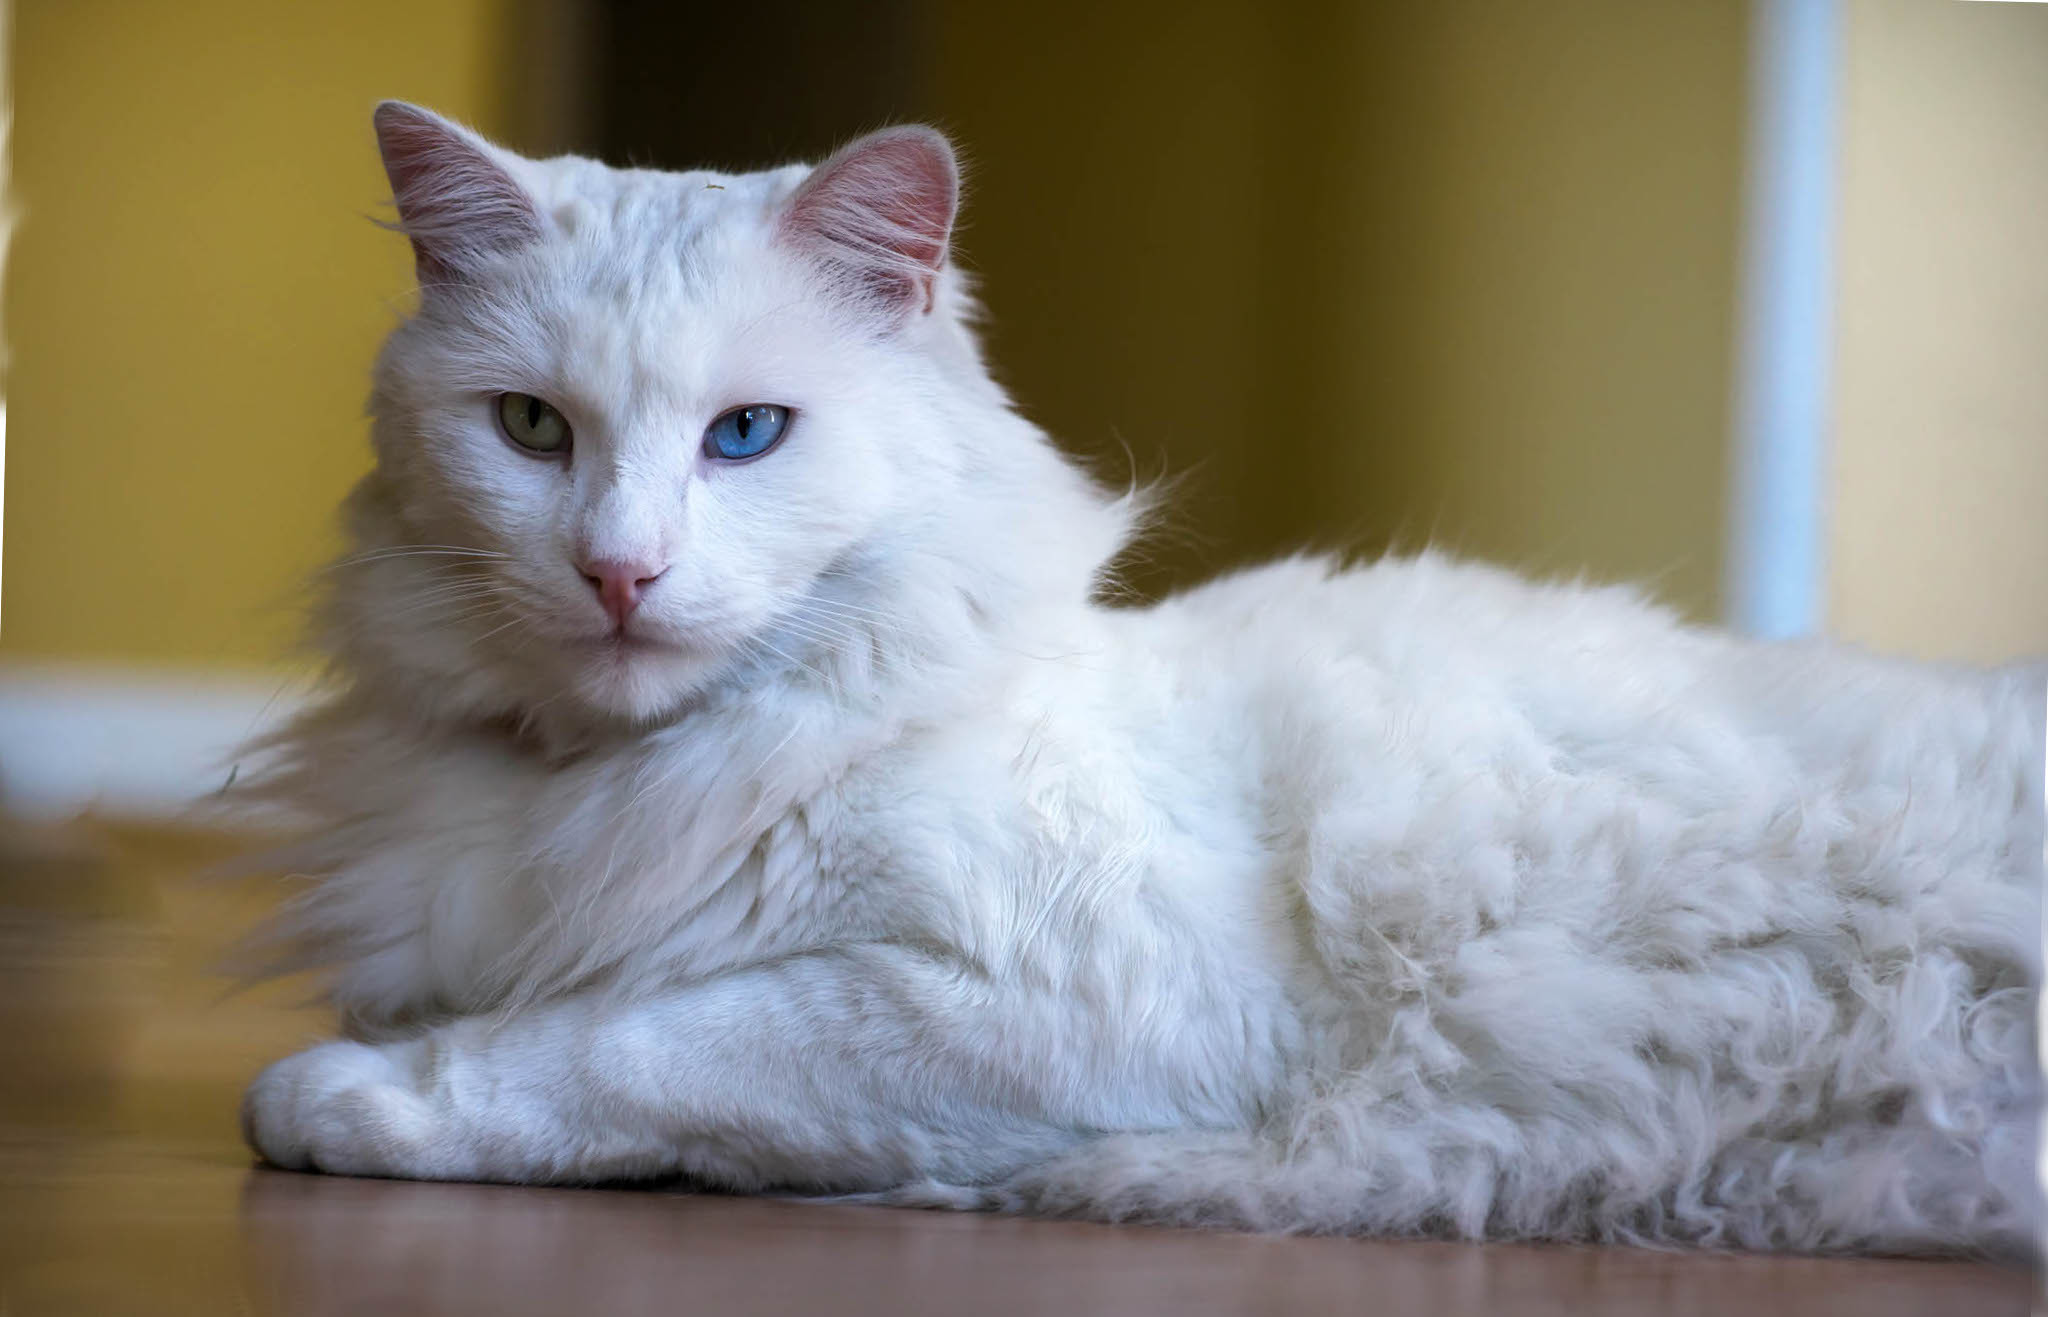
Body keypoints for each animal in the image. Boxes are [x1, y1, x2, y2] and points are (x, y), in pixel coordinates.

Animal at [232, 102, 2039, 1253]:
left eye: (744, 434)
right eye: (530, 428)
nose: (618, 570)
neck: (617, 781)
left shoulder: (1058, 1004)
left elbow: (623, 1044)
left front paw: (342, 1101)